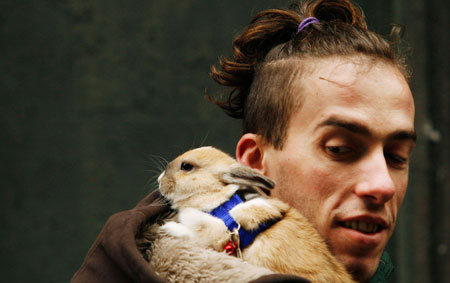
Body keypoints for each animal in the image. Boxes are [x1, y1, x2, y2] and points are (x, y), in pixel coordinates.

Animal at [155, 148, 356, 282]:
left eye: (186, 166)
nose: (159, 180)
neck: (223, 201)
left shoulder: (217, 234)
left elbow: (196, 234)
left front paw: (169, 227)